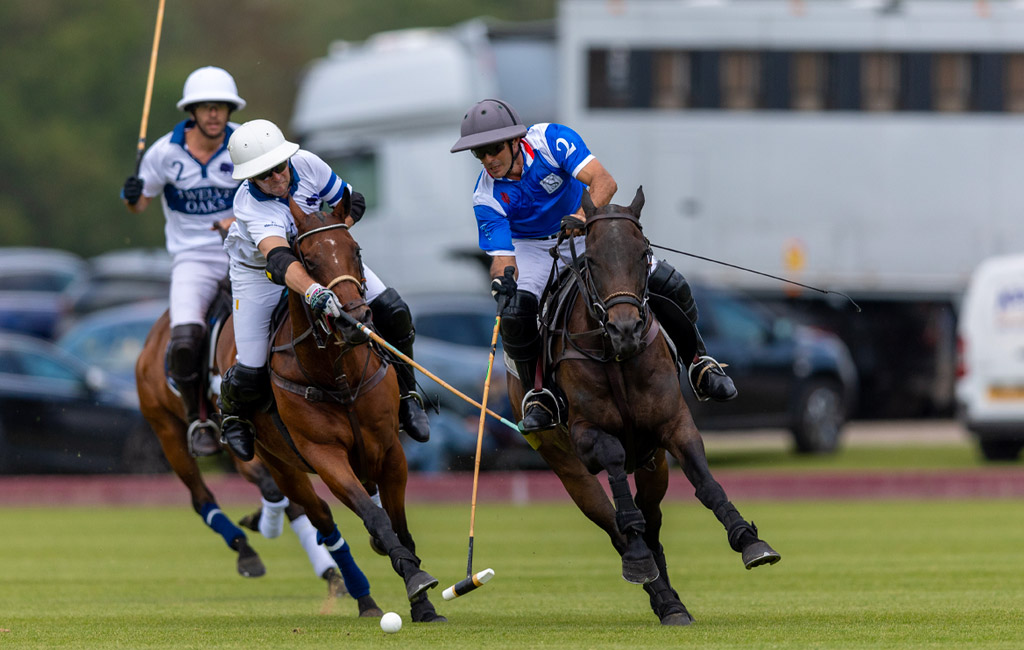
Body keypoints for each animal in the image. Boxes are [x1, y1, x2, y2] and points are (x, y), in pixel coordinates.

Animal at [136, 307, 372, 614]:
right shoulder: (244, 440)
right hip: (167, 431)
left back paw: (328, 570)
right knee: (201, 497)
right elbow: (276, 492)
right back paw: (244, 549)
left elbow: (287, 498)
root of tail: (153, 336)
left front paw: (262, 520)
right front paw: (261, 525)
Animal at [211, 194, 444, 626]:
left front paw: (423, 603)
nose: (356, 320)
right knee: (322, 520)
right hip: (282, 465)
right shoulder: (325, 456)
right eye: (308, 259)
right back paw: (365, 600)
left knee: (395, 309)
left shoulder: (390, 451)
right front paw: (416, 579)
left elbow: (399, 524)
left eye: (356, 250)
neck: (340, 377)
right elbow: (375, 517)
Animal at [507, 187, 778, 626]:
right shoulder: (585, 434)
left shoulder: (674, 422)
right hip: (568, 469)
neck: (615, 355)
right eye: (592, 260)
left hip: (654, 462)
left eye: (642, 253)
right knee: (616, 524)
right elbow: (614, 465)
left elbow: (705, 482)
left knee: (651, 520)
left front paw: (749, 541)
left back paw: (671, 601)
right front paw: (640, 561)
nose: (626, 330)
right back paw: (656, 585)